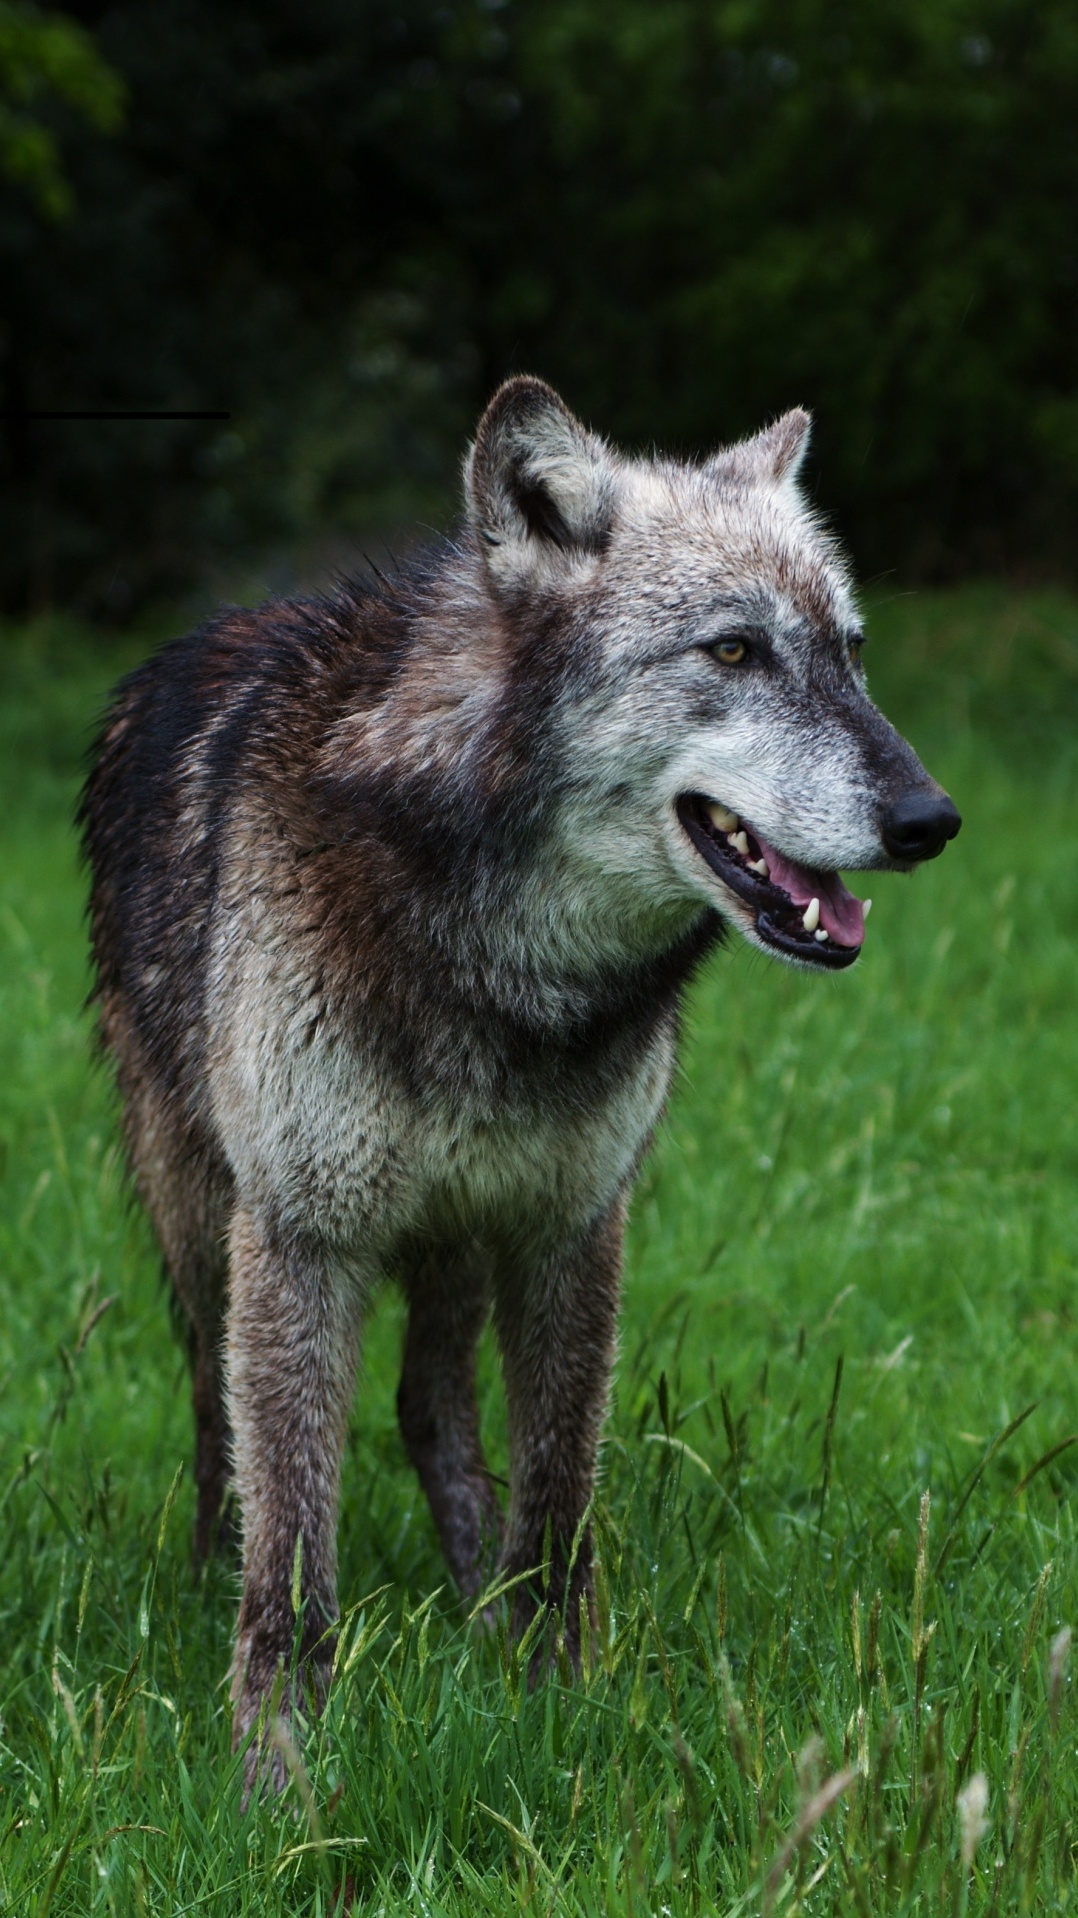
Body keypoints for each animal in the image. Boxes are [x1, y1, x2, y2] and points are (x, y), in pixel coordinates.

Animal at [79, 374, 959, 1779]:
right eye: (732, 652)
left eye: (851, 653)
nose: (930, 818)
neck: (502, 974)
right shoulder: (303, 1236)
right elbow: (295, 1546)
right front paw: (276, 1766)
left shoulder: (568, 1224)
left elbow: (556, 1495)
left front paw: (549, 1693)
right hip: (199, 1217)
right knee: (222, 1434)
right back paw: (219, 1580)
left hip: (449, 1232)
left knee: (428, 1408)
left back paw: (470, 1592)